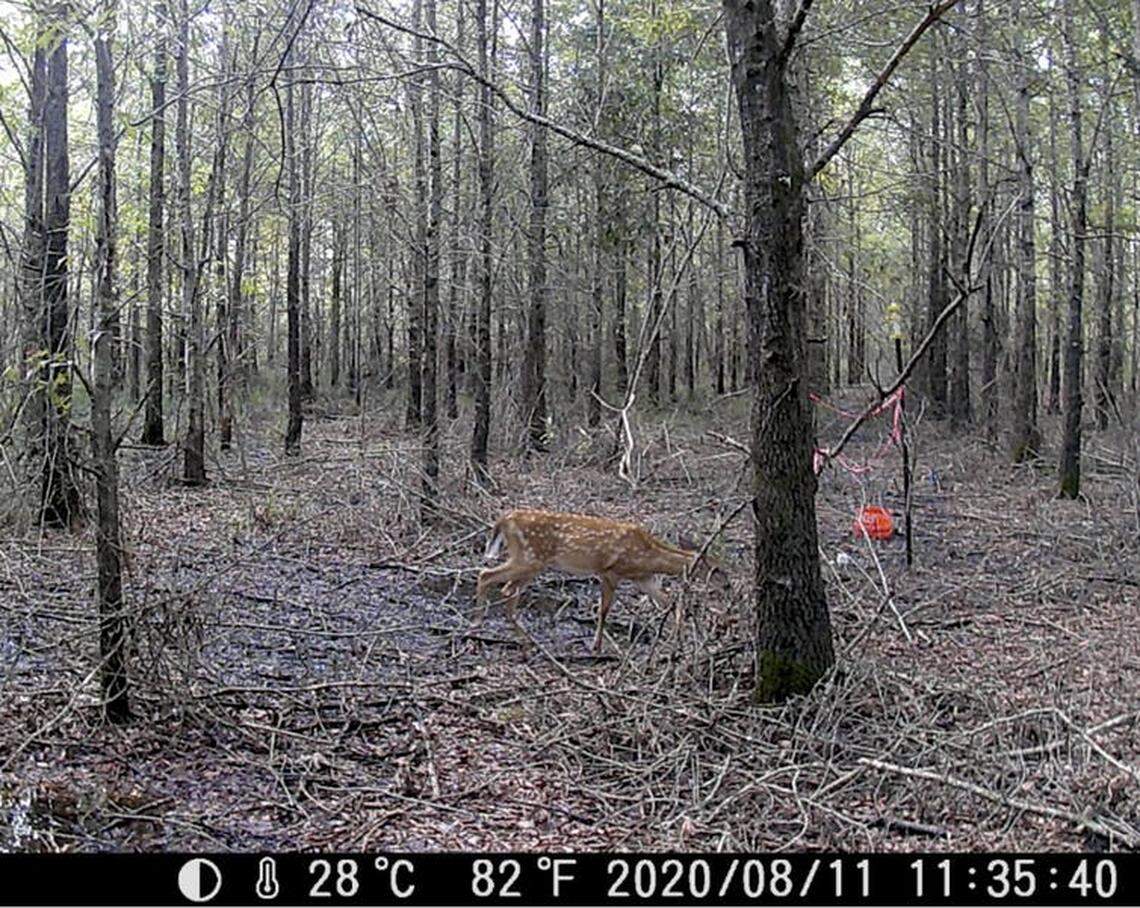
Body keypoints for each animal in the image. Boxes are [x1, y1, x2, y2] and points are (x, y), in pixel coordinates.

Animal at [475, 509, 726, 652]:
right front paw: (596, 645)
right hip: (529, 558)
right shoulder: (610, 572)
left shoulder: (643, 578)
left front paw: (680, 639)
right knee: (486, 575)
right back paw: (478, 624)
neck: (647, 556)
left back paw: (524, 639)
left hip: (531, 562)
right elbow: (603, 610)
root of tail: (504, 519)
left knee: (507, 588)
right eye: (717, 569)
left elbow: (669, 603)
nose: (728, 585)